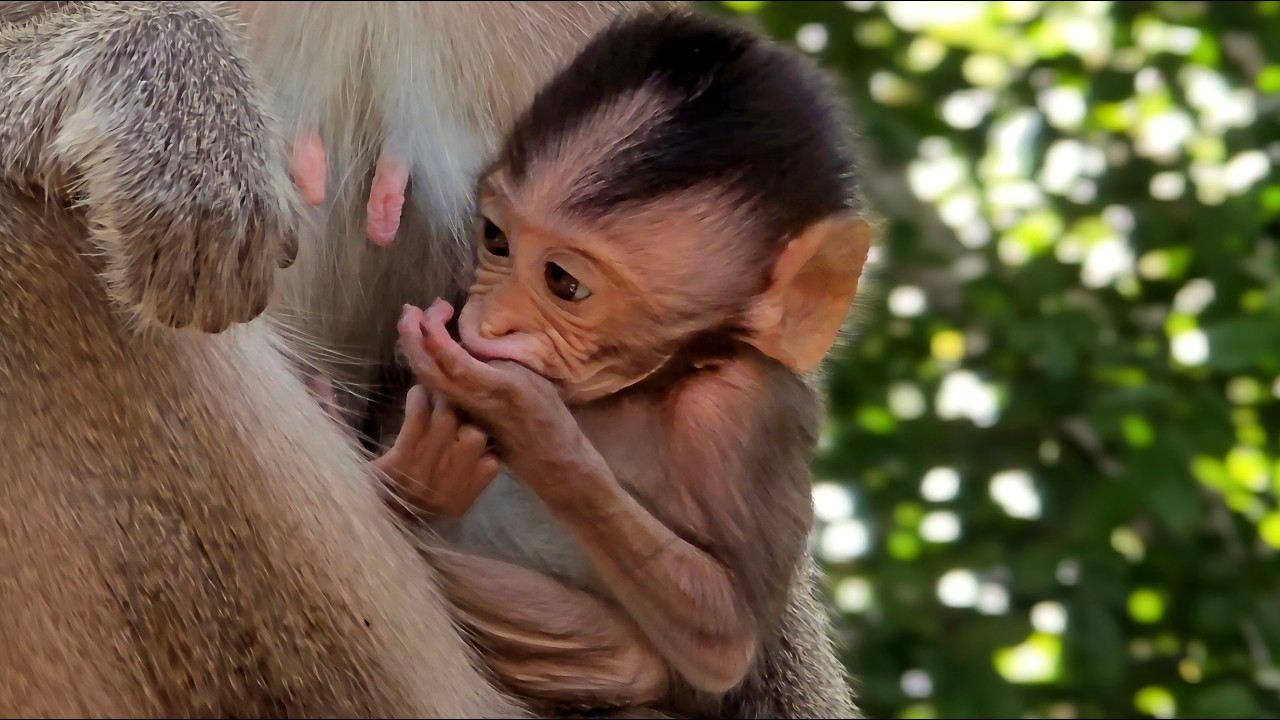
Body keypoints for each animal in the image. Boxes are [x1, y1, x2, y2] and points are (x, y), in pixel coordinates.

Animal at [226, 4, 858, 717]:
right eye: (495, 239)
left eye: (565, 283)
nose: (486, 320)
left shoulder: (744, 412)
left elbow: (725, 634)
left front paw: (522, 416)